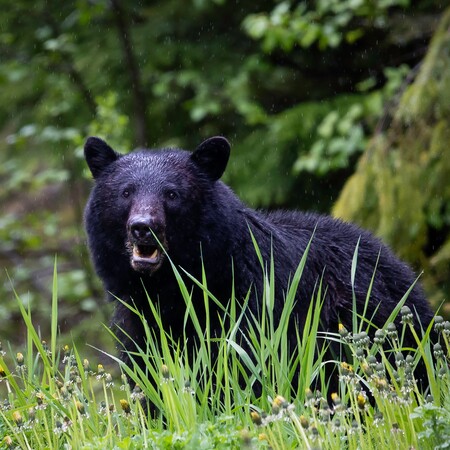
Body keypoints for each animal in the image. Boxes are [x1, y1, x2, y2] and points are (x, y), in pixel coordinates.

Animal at [83, 137, 432, 386]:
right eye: (126, 192)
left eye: (172, 194)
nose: (143, 226)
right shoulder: (136, 321)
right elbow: (149, 376)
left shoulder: (253, 306)